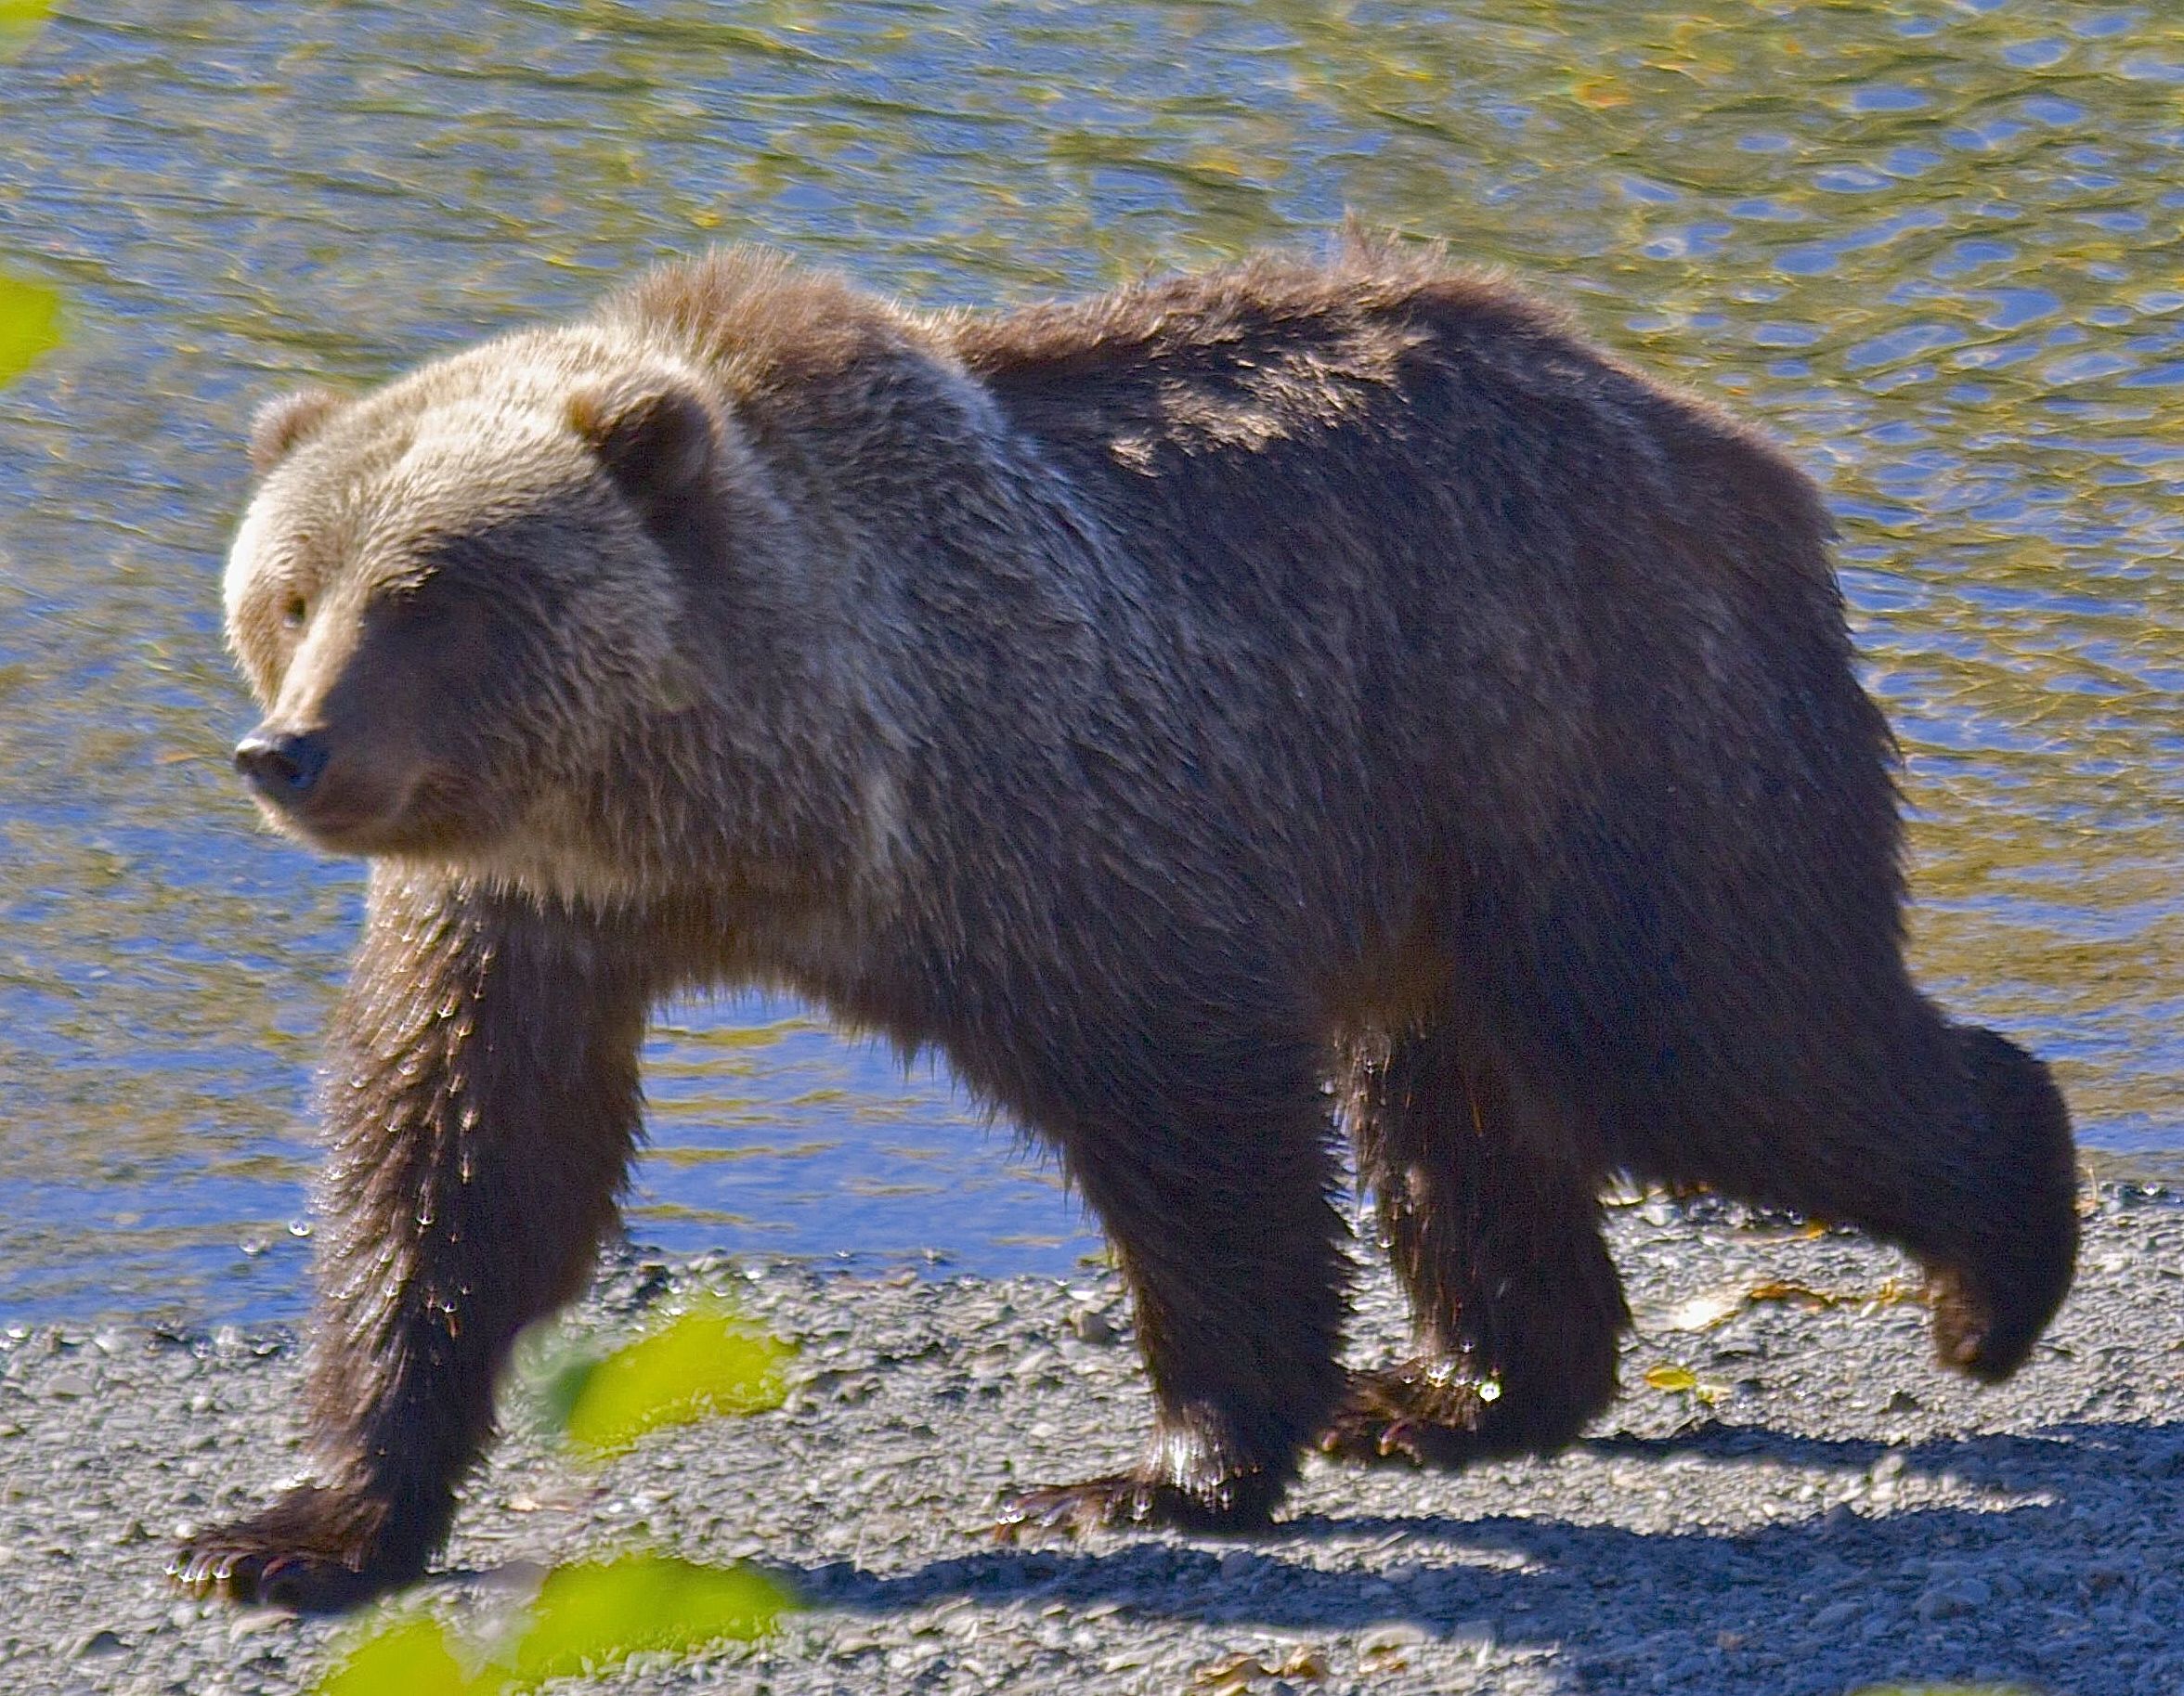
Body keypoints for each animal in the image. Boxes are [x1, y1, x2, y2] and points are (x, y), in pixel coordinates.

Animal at [173, 238, 2078, 1610]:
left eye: (432, 592)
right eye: (289, 589)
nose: (292, 750)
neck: (755, 809)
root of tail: (1717, 434)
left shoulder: (1057, 818)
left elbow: (1195, 1124)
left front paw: (1160, 1465)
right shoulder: (526, 913)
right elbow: (460, 1168)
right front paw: (294, 1525)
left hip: (1588, 725)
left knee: (1707, 1033)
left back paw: (1994, 1266)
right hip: (1438, 835)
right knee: (1459, 1105)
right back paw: (1456, 1392)